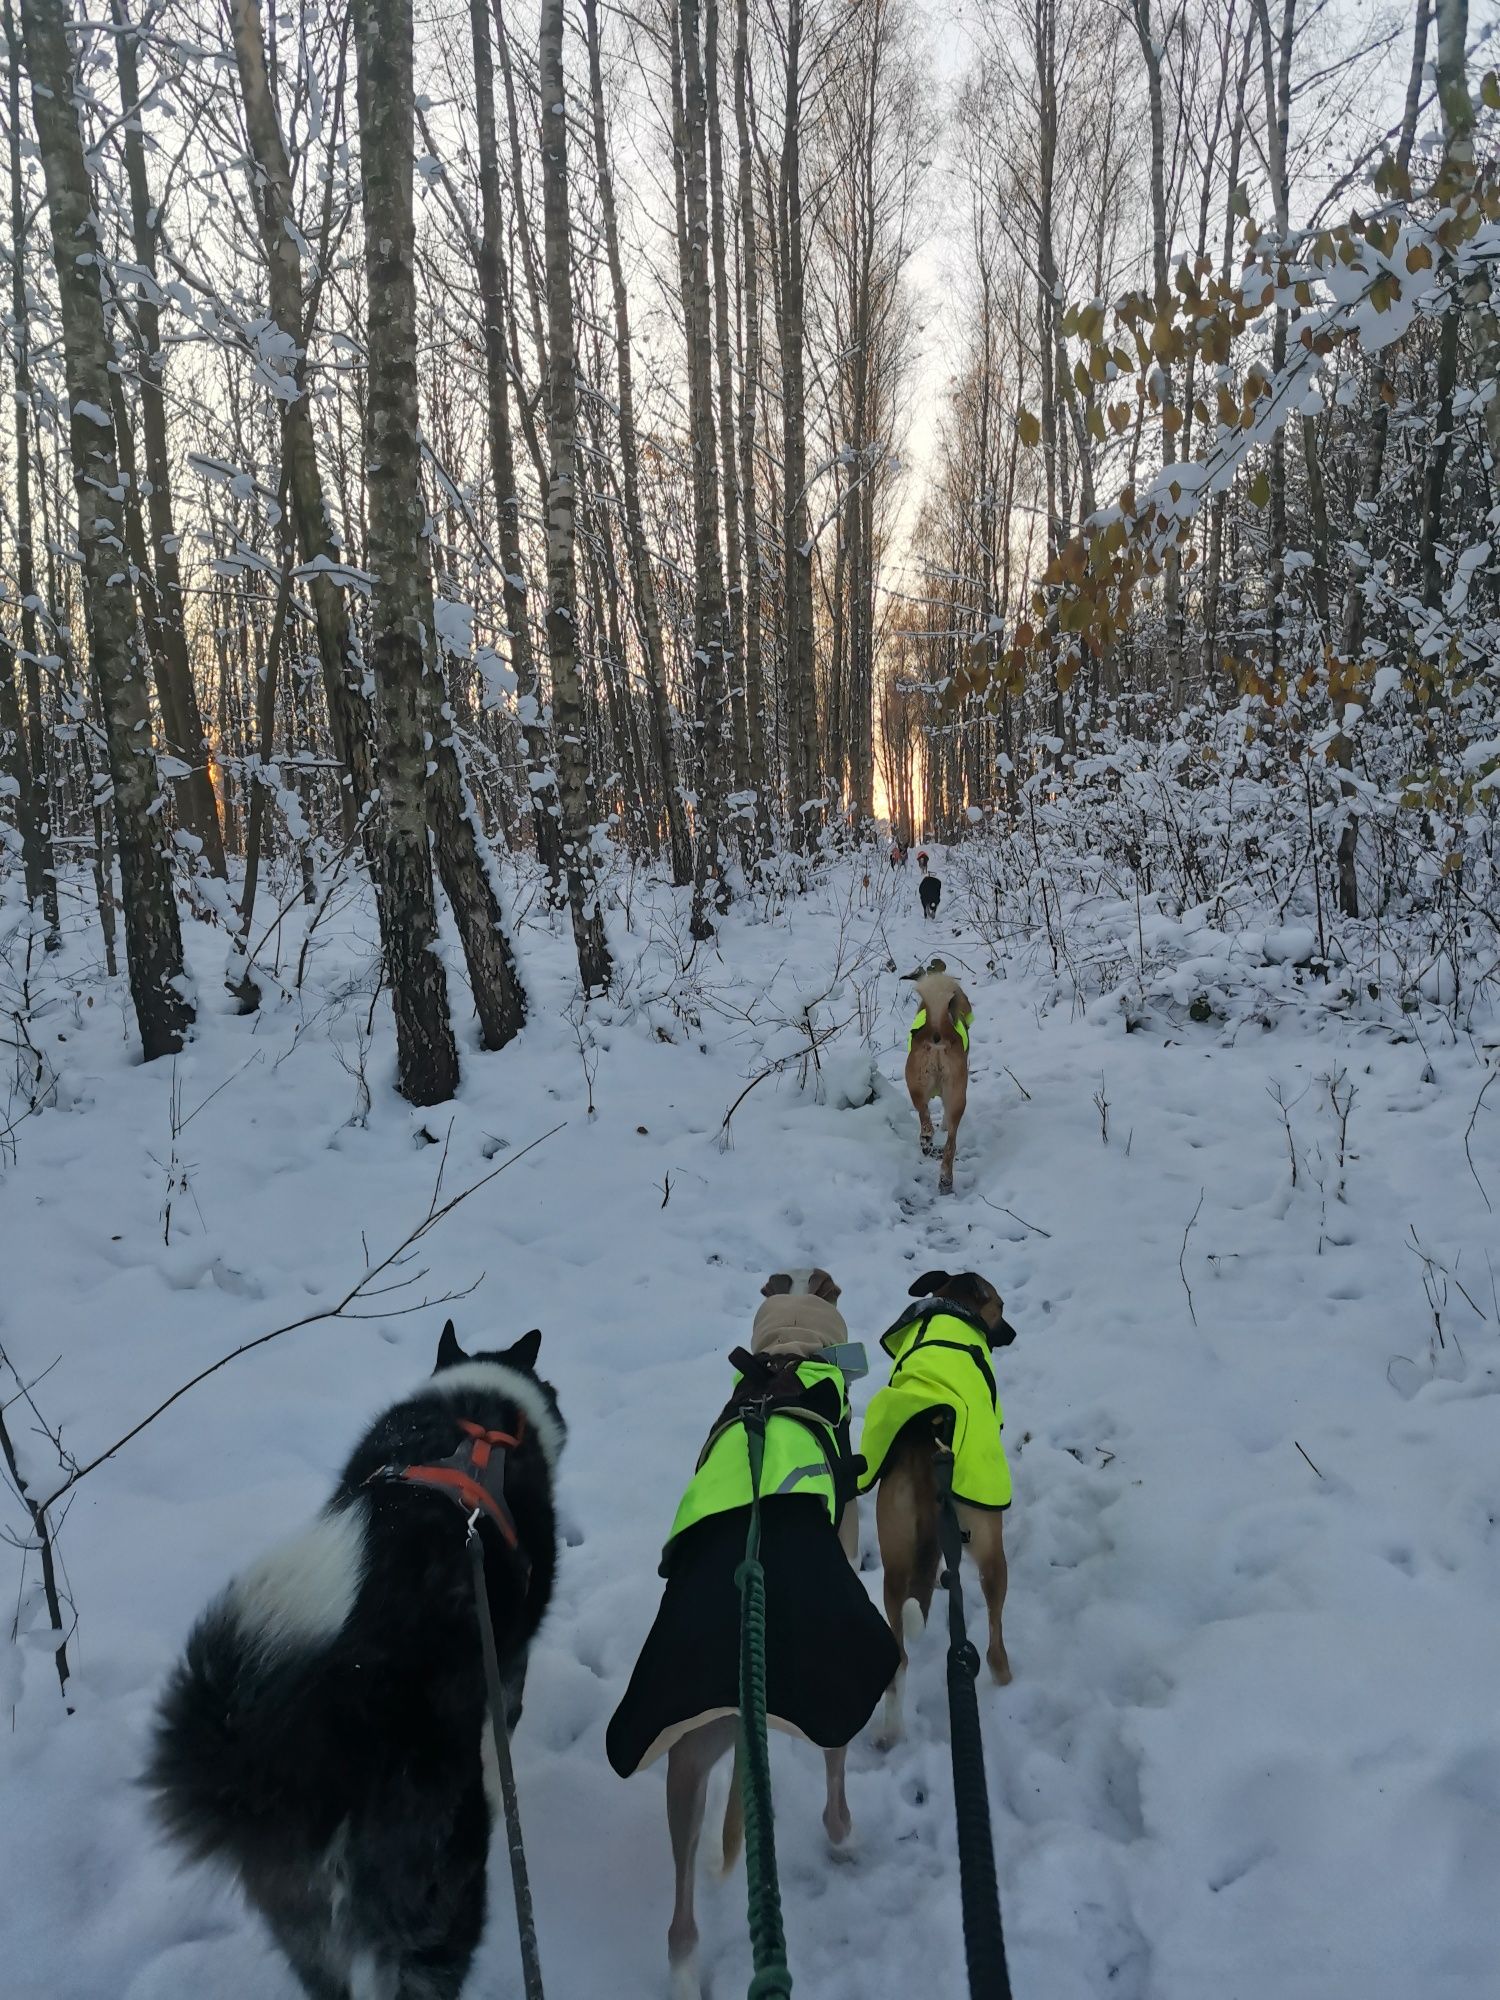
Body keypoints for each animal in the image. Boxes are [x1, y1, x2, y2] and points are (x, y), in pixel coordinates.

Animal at [904, 960, 976, 1192]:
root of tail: (938, 1029)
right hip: (955, 1094)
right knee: (950, 1141)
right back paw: (945, 1177)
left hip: (916, 1085)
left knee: (925, 1117)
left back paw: (928, 1142)